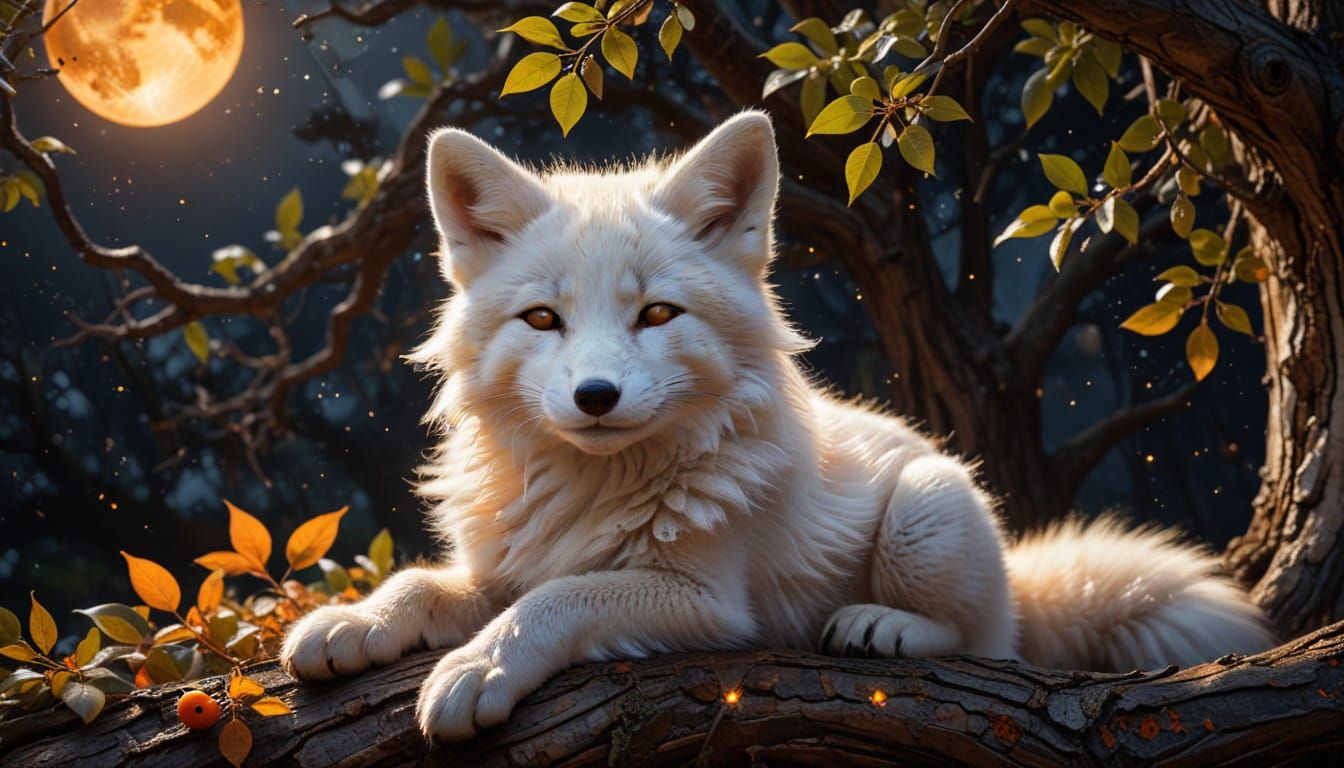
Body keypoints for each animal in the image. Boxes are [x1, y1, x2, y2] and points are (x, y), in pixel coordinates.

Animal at [279, 111, 1276, 741]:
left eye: (656, 314)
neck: (598, 487)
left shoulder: (707, 604)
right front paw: (352, 623)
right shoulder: (502, 566)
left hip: (924, 511)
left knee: (990, 644)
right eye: (542, 320)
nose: (596, 396)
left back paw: (885, 626)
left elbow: (558, 600)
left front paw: (477, 671)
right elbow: (428, 583)